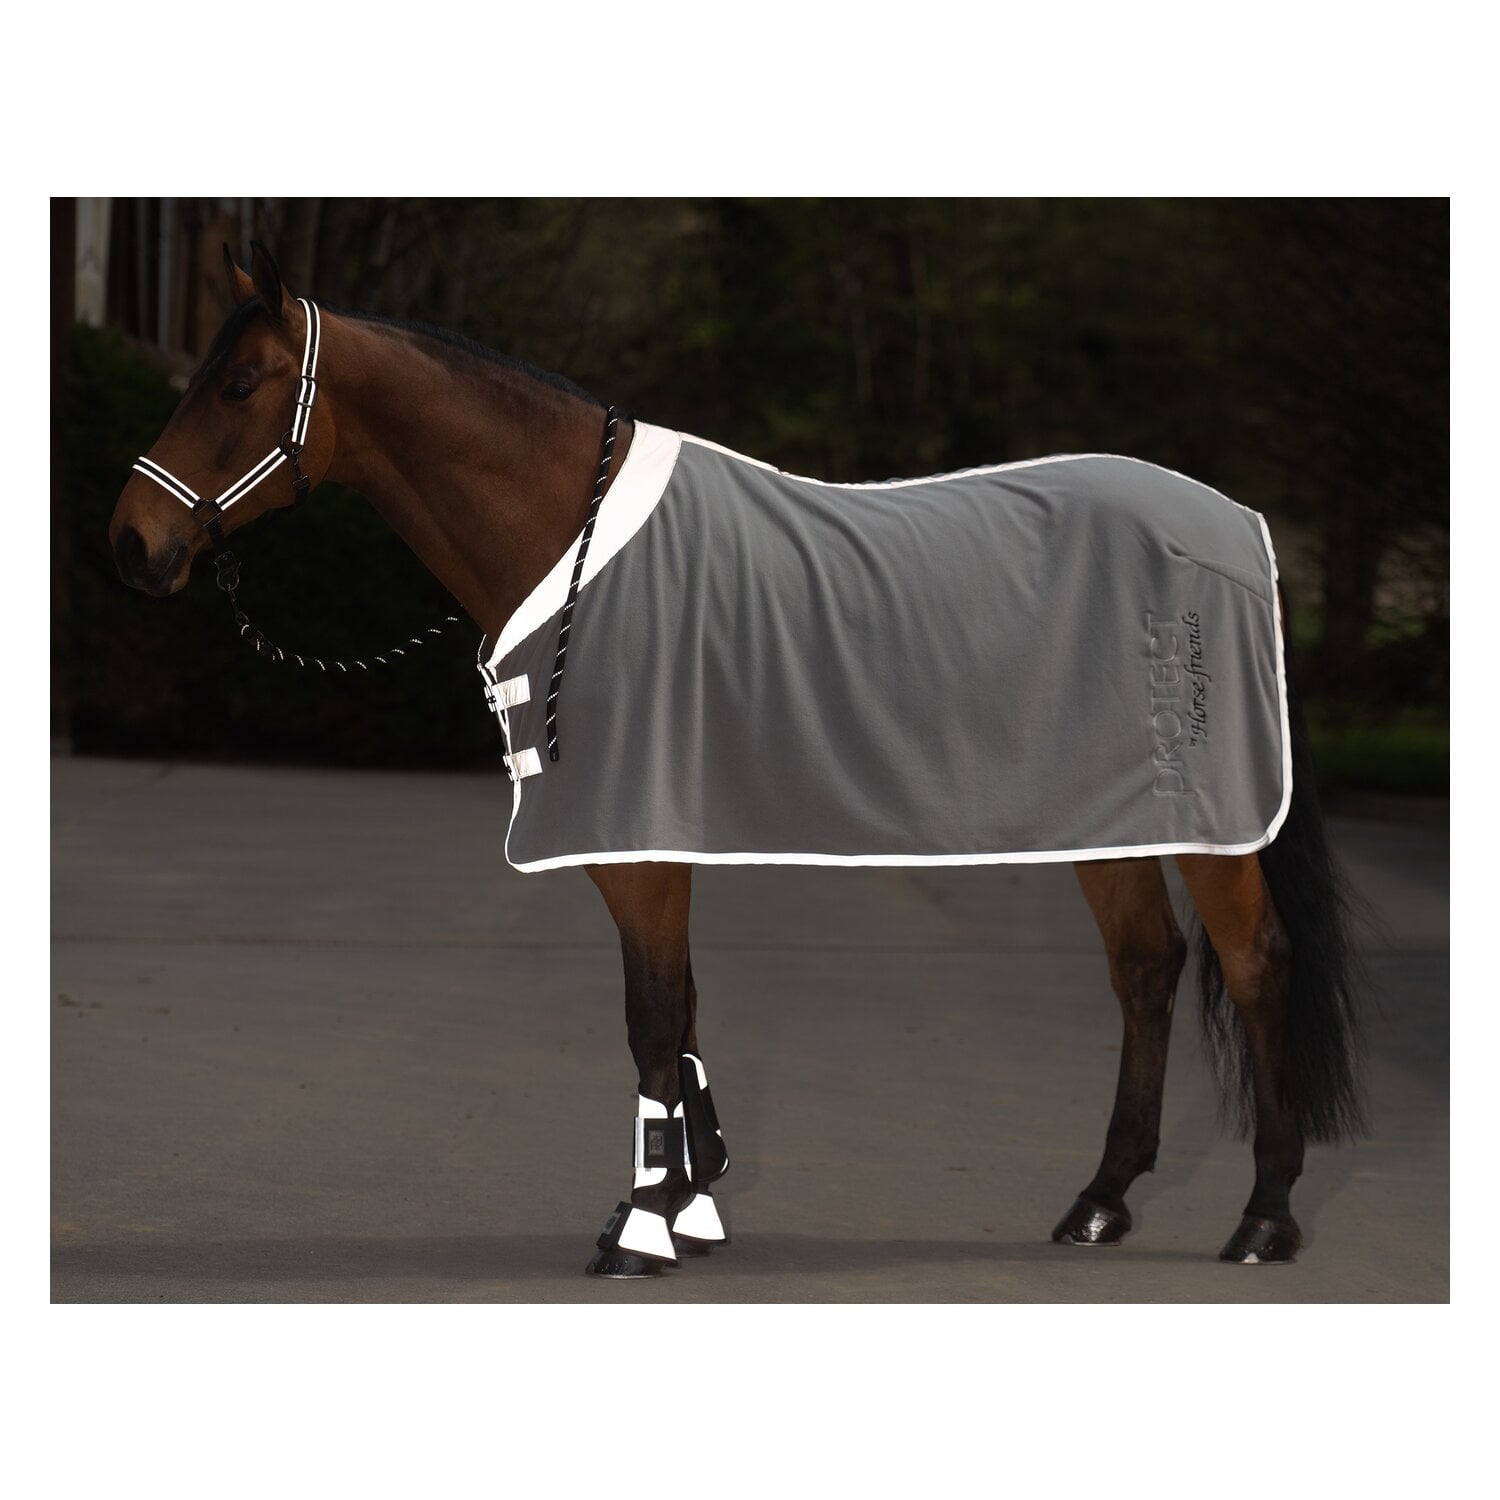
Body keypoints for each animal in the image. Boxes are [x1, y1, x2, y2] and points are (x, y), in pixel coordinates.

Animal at [107, 244, 1364, 1278]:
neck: (579, 548)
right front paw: (692, 1199)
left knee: (1255, 963)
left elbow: (654, 1014)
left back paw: (1264, 1218)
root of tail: (1236, 528)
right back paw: (1100, 1201)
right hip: (1107, 817)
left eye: (238, 383)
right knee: (1147, 970)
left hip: (1208, 824)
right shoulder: (651, 841)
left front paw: (641, 1229)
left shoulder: (639, 844)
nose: (133, 542)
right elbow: (686, 1012)